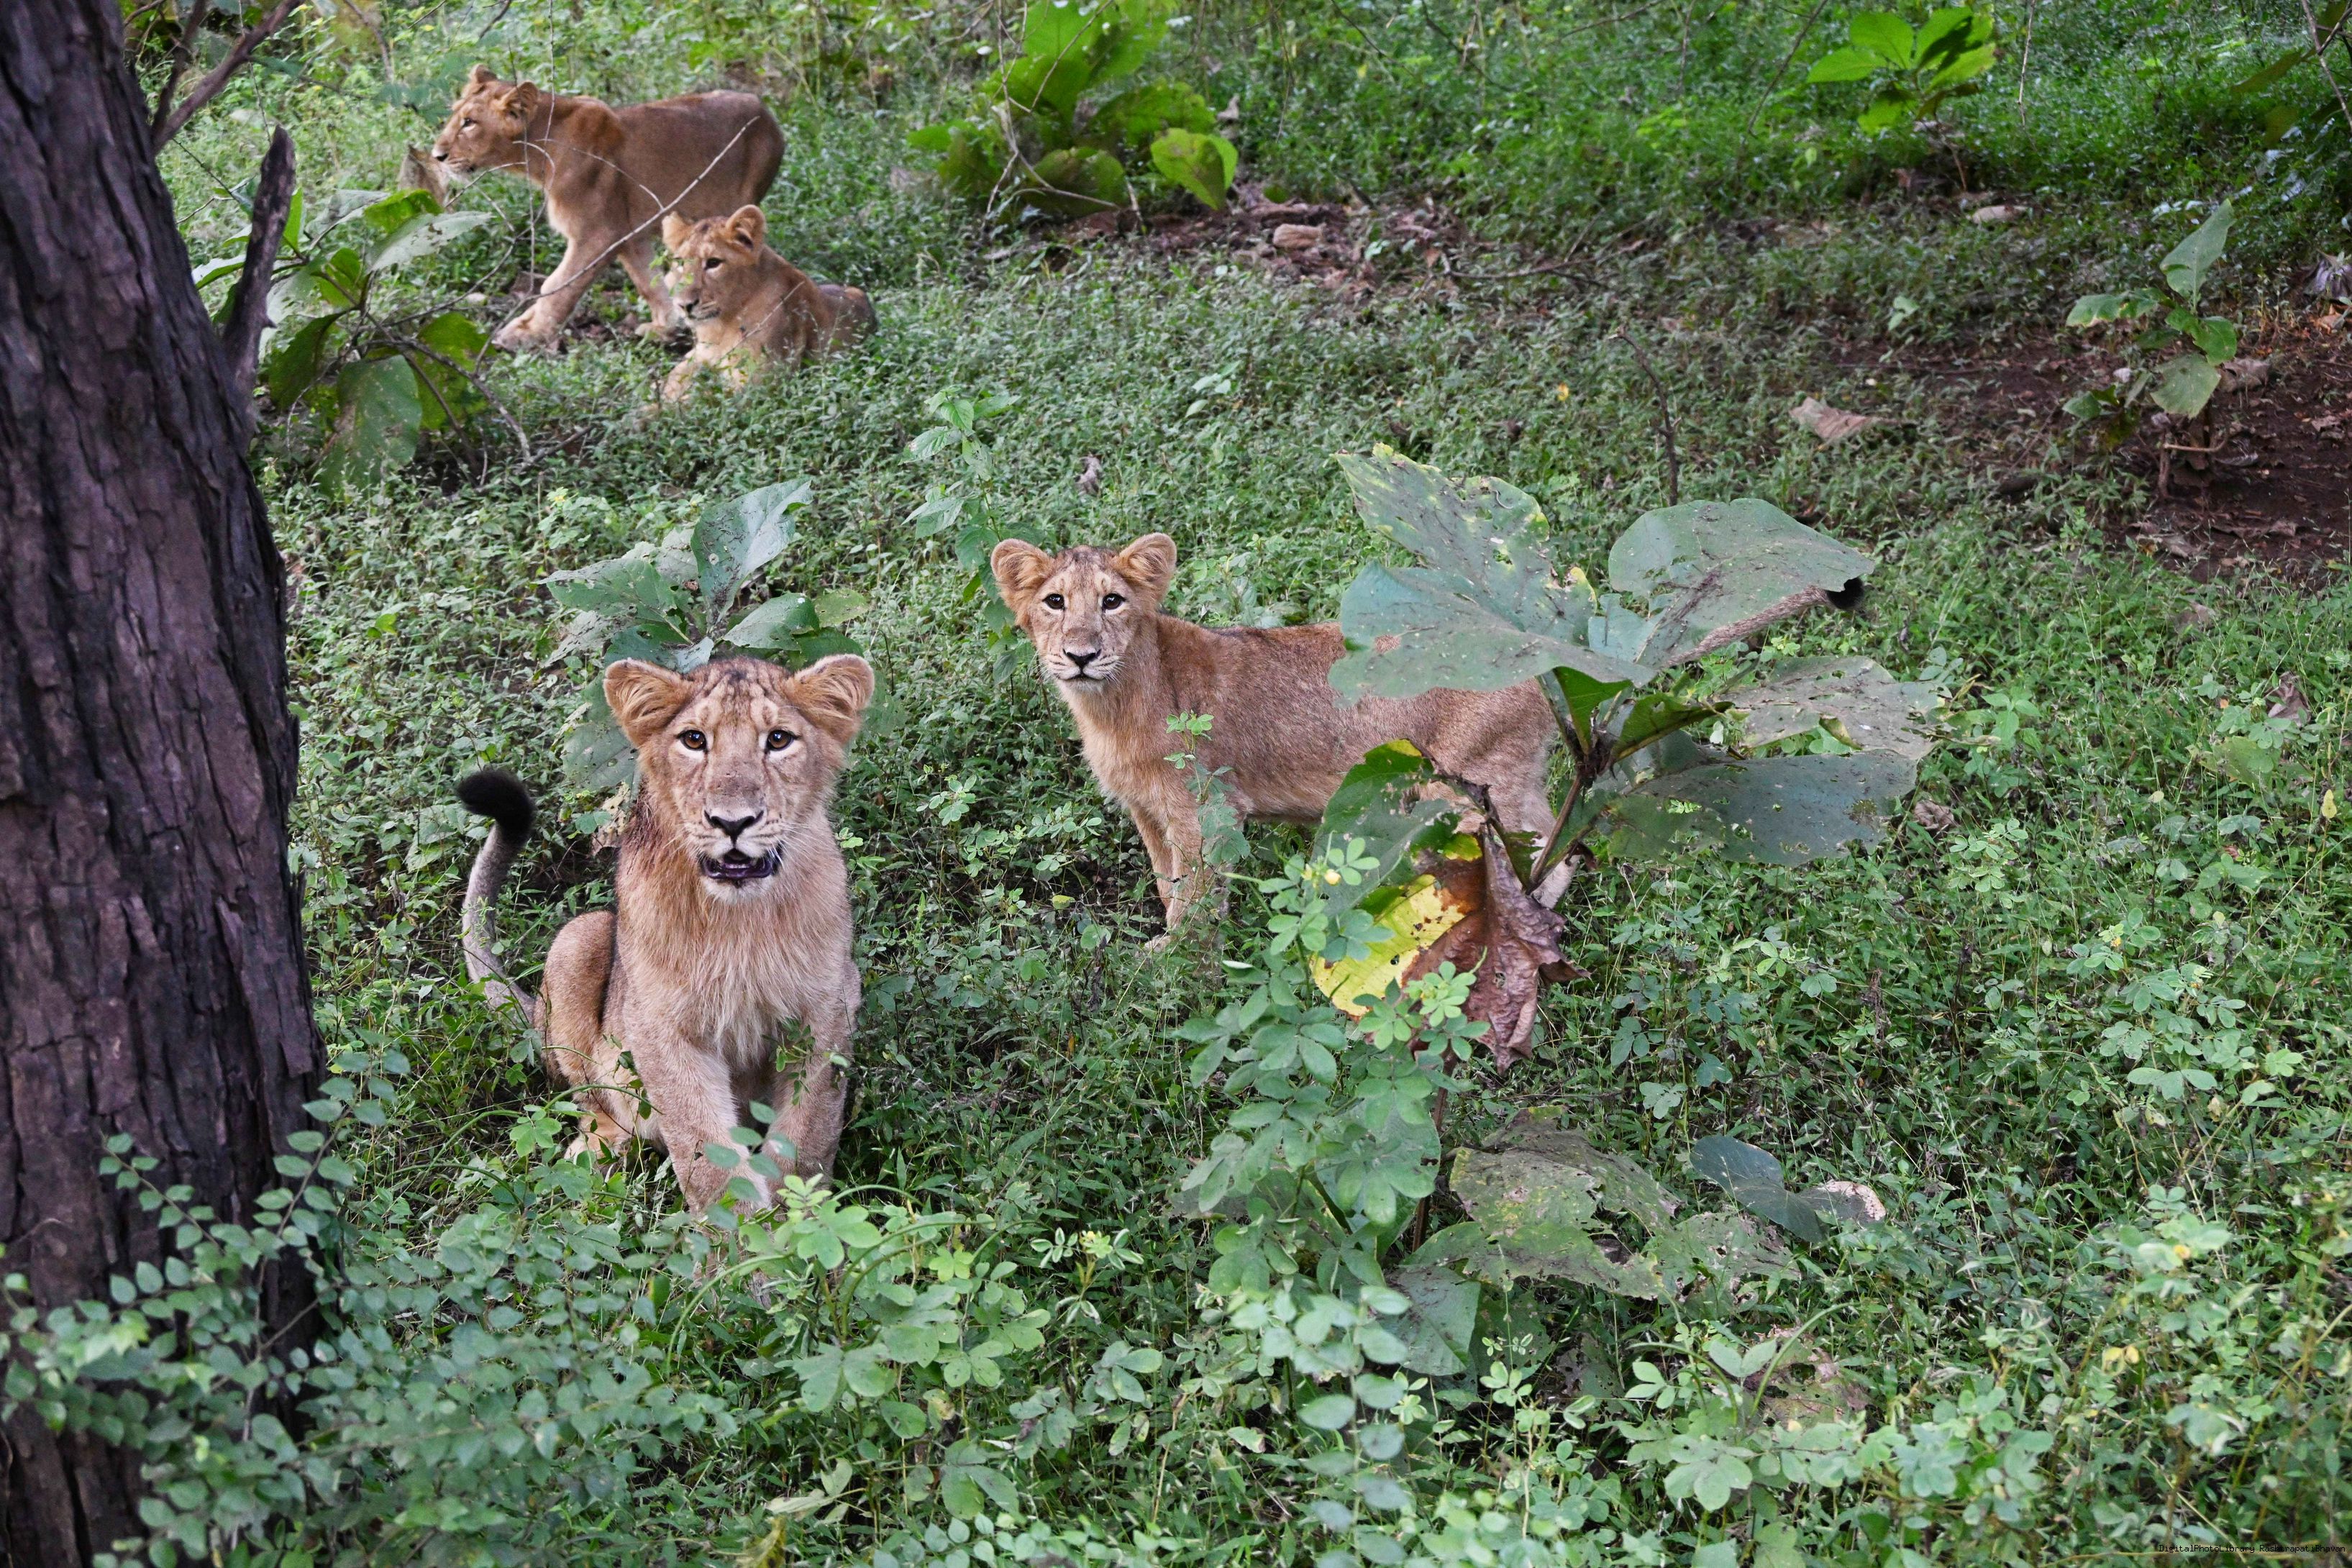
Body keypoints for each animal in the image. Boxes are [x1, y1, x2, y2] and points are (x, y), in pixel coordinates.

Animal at [430, 66, 784, 353]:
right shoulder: (629, 234)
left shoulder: (598, 234)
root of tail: (768, 113)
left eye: (470, 123)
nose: (437, 156)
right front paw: (668, 327)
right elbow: (649, 282)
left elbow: (558, 285)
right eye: (455, 115)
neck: (542, 147)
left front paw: (527, 335)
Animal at [455, 653, 874, 1211]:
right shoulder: (660, 1026)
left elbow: (807, 1133)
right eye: (694, 740)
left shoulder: (827, 1008)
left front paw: (800, 1221)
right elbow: (704, 1152)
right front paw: (741, 1234)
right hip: (581, 940)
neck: (740, 921)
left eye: (779, 740)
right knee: (591, 1100)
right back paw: (594, 1155)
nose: (732, 822)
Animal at [658, 206, 877, 402]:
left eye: (713, 262)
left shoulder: (759, 386)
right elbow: (675, 385)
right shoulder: (698, 359)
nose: (683, 305)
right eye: (680, 262)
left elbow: (701, 403)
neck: (721, 326)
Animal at [991, 533, 1561, 933]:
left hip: (1469, 788)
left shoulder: (1208, 810)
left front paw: (1174, 967)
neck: (1112, 706)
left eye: (1112, 601)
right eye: (1055, 602)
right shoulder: (1146, 808)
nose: (1081, 656)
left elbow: (1193, 895)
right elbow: (1165, 879)